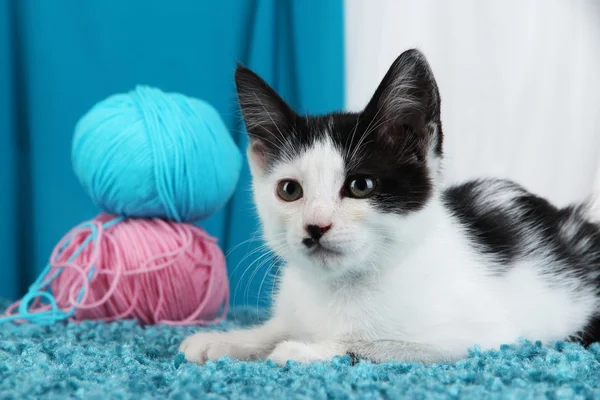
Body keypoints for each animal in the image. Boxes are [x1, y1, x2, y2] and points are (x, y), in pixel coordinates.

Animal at [180, 48, 600, 364]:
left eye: (360, 186)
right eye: (289, 190)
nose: (316, 226)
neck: (341, 287)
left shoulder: (484, 338)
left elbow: (378, 343)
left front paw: (302, 350)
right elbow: (279, 325)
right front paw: (229, 339)